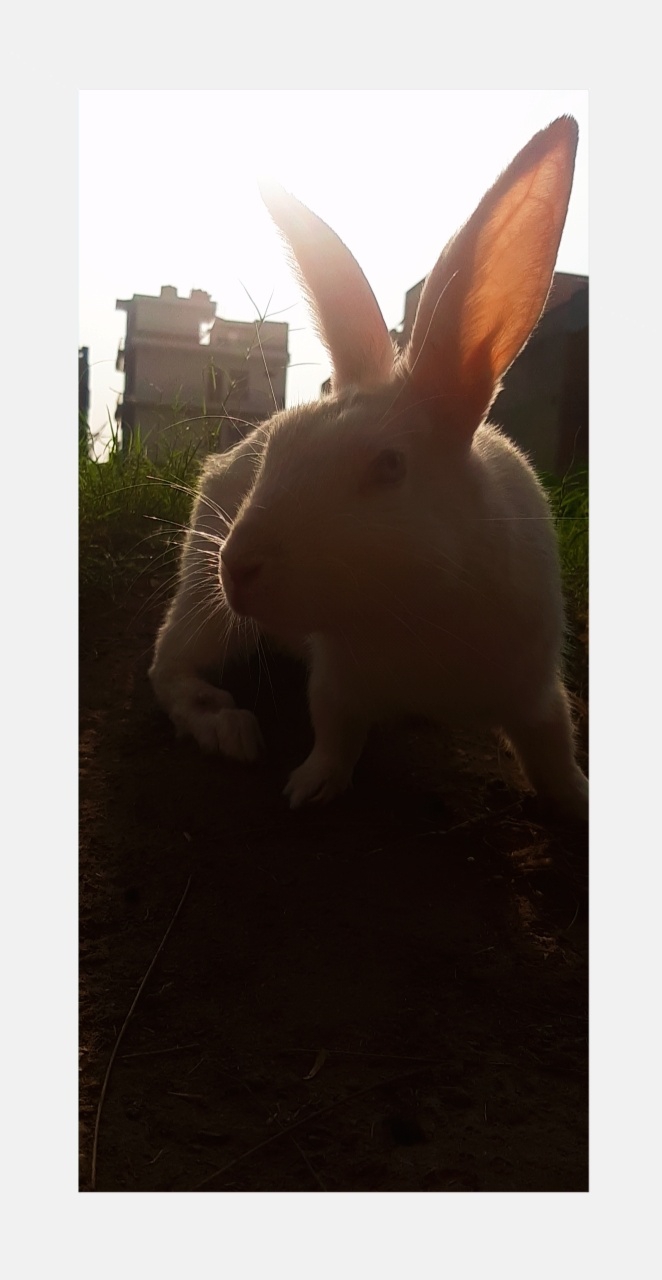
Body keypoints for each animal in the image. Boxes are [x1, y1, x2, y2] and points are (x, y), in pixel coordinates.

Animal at [149, 116, 588, 821]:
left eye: (388, 467)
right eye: (278, 450)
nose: (239, 566)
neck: (414, 609)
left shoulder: (535, 690)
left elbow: (553, 753)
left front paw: (581, 801)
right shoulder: (337, 683)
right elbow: (335, 736)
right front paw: (308, 788)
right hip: (203, 601)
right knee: (169, 667)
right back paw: (228, 727)